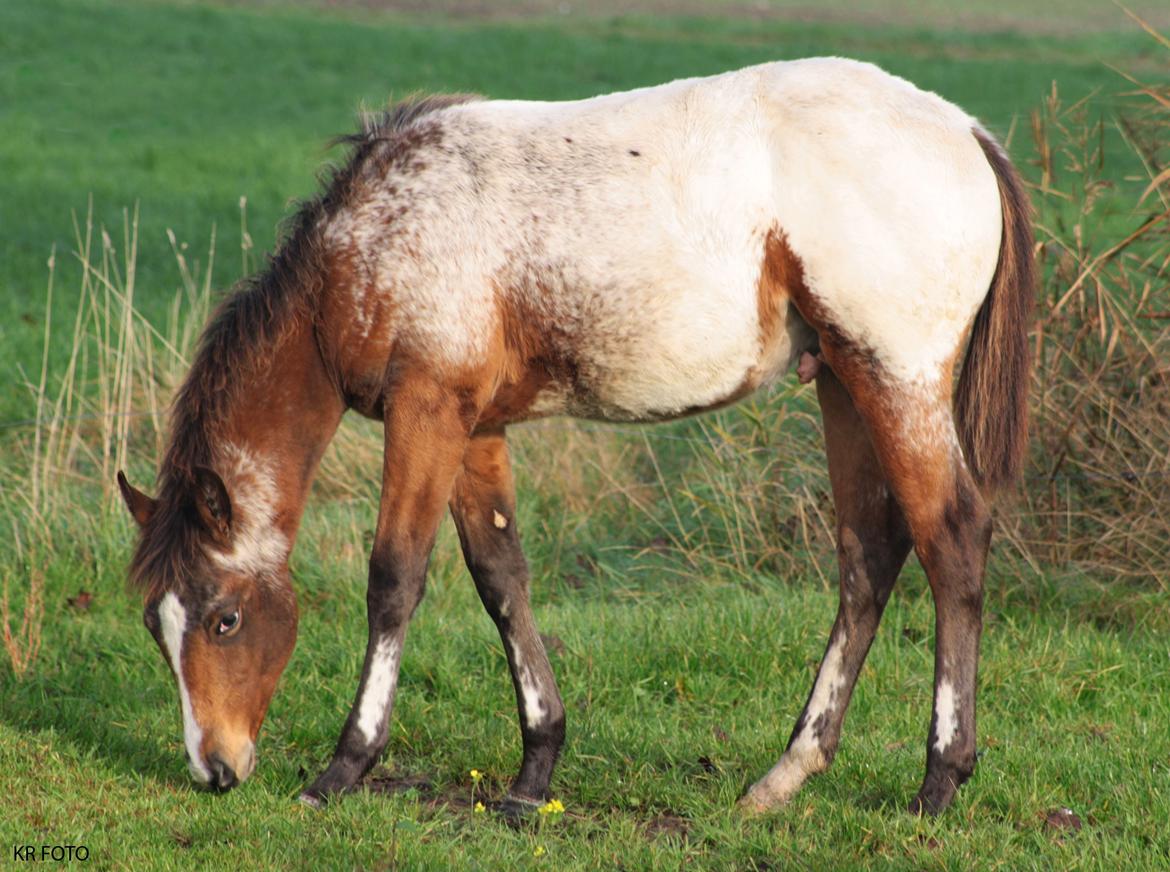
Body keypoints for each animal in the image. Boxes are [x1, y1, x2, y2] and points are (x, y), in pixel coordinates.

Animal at [118, 57, 1034, 814]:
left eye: (225, 620)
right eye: (155, 628)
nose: (215, 769)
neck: (369, 241)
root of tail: (967, 130)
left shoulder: (426, 413)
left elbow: (394, 579)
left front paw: (344, 768)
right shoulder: (473, 428)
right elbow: (501, 578)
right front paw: (534, 772)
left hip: (893, 378)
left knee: (951, 539)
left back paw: (938, 780)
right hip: (843, 382)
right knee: (868, 555)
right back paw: (785, 775)